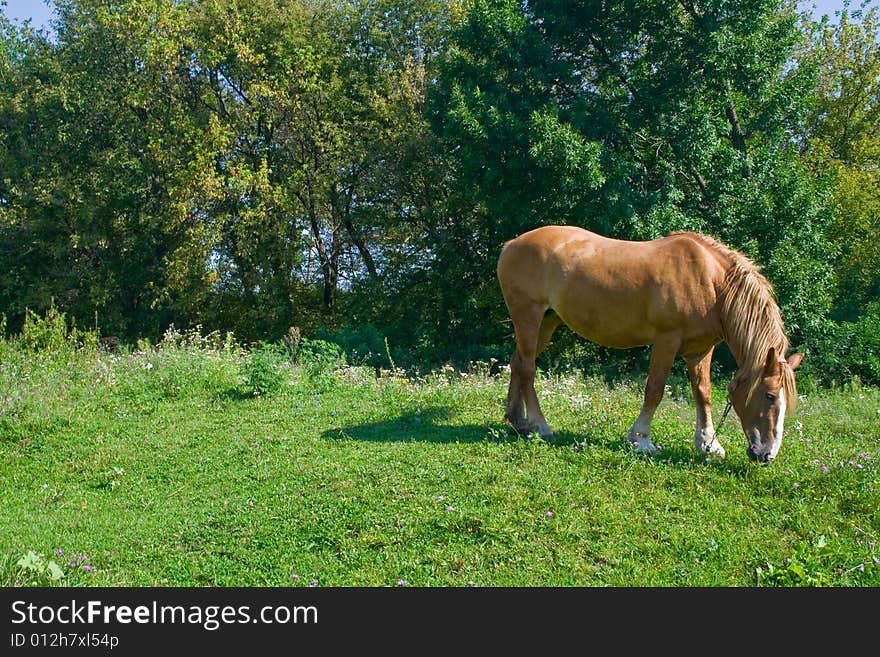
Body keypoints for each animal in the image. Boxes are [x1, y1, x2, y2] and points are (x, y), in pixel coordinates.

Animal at [498, 226, 800, 462]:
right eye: (770, 396)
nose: (767, 454)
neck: (712, 282)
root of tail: (512, 243)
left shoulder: (700, 350)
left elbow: (703, 393)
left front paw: (709, 443)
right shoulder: (666, 341)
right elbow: (654, 390)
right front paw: (641, 439)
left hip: (547, 322)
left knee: (517, 362)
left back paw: (517, 420)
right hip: (529, 316)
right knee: (528, 368)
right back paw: (540, 425)